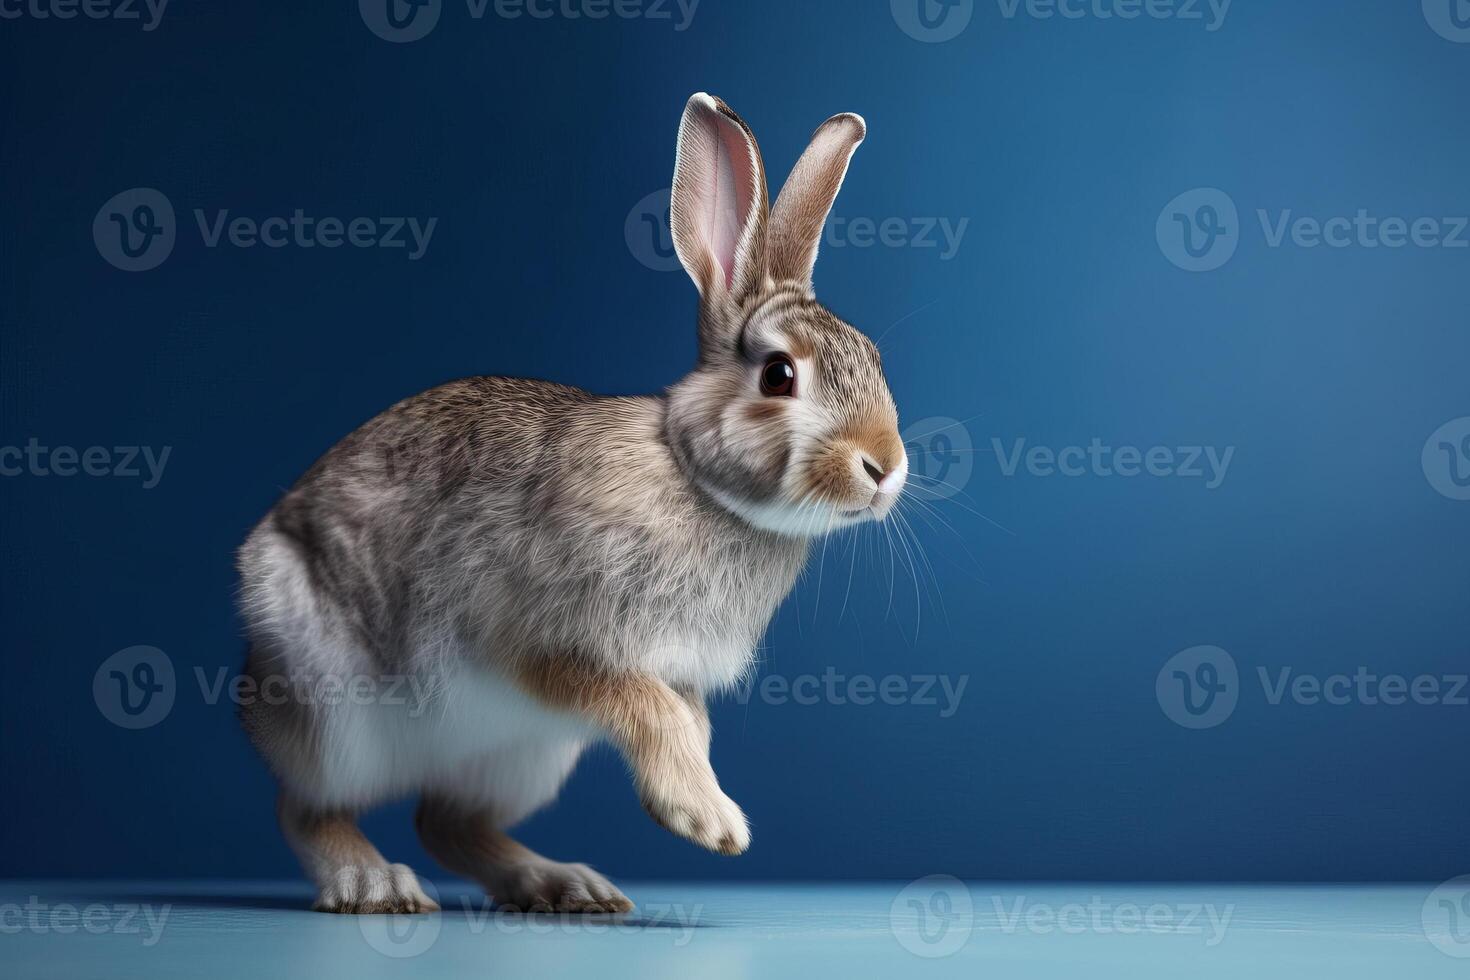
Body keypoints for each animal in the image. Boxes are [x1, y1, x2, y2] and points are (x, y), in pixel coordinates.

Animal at [235, 95, 905, 916]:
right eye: (779, 375)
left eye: (873, 359)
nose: (886, 467)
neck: (697, 481)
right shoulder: (544, 643)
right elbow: (645, 705)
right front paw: (708, 820)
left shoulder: (676, 673)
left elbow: (687, 722)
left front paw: (697, 799)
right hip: (339, 718)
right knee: (305, 808)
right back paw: (373, 883)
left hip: (525, 755)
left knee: (445, 823)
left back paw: (563, 884)